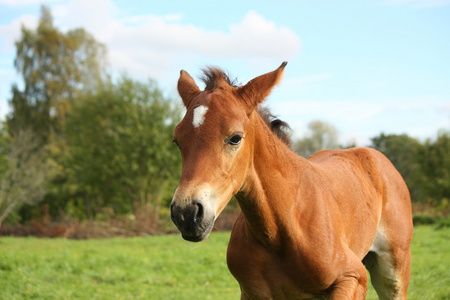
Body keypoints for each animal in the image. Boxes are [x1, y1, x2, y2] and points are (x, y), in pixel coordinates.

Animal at [171, 62, 414, 298]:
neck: (281, 231)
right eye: (177, 141)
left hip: (394, 271)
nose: (186, 213)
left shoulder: (353, 277)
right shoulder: (252, 293)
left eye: (235, 138)